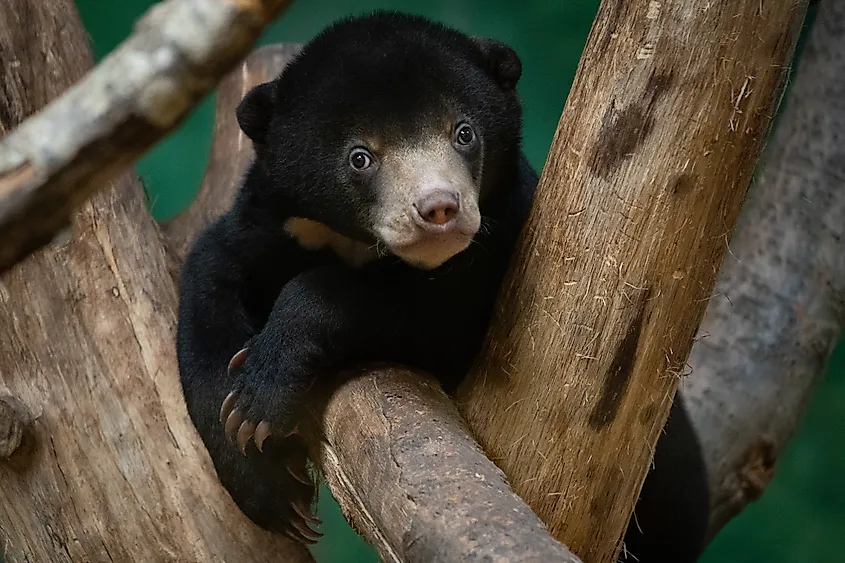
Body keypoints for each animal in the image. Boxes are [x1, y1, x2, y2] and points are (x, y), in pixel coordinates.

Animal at [175, 10, 709, 562]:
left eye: (464, 132)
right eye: (360, 157)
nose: (439, 208)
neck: (357, 246)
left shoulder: (500, 240)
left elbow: (433, 318)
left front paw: (259, 397)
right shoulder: (270, 223)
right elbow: (209, 283)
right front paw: (266, 476)